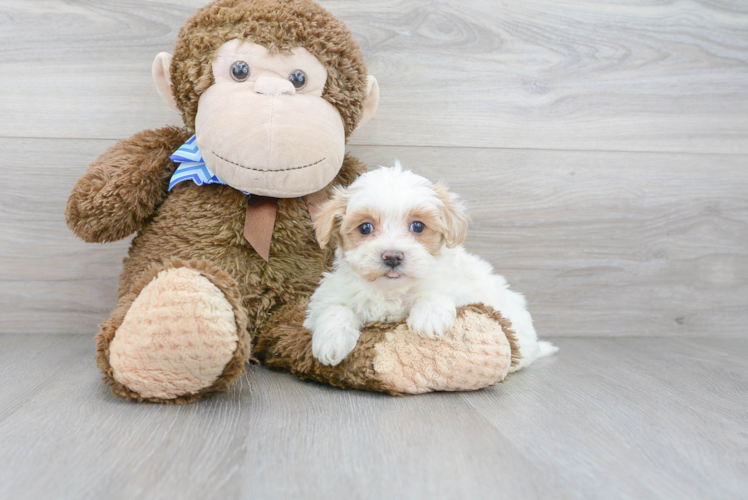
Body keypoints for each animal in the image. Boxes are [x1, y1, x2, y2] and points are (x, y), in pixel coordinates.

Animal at [302, 163, 556, 368]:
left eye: (418, 226)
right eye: (365, 228)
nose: (392, 257)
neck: (391, 291)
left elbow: (438, 290)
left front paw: (429, 317)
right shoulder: (327, 296)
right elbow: (335, 308)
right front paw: (331, 341)